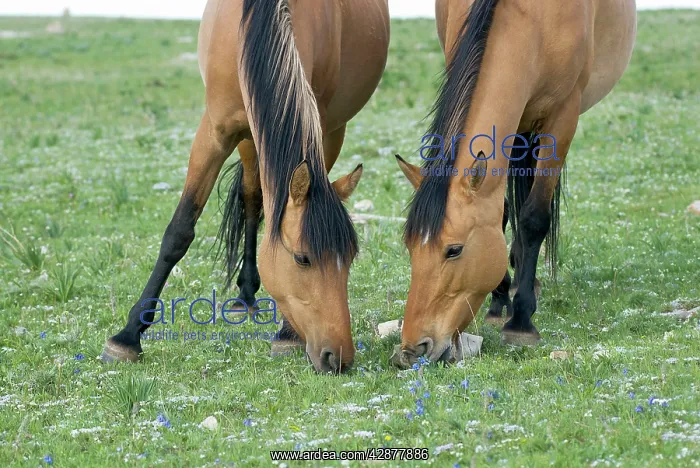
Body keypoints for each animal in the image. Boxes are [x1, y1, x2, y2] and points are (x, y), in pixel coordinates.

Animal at [101, 0, 390, 373]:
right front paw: (127, 337)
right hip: (249, 138)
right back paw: (245, 293)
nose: (338, 357)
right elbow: (179, 232)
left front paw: (287, 334)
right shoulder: (214, 132)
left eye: (351, 257)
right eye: (302, 258)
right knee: (253, 198)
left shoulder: (320, 127)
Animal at [394, 0, 636, 365]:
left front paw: (521, 321)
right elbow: (503, 212)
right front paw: (499, 299)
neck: (535, 18)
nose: (412, 351)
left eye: (454, 250)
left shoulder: (563, 118)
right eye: (410, 247)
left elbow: (534, 218)